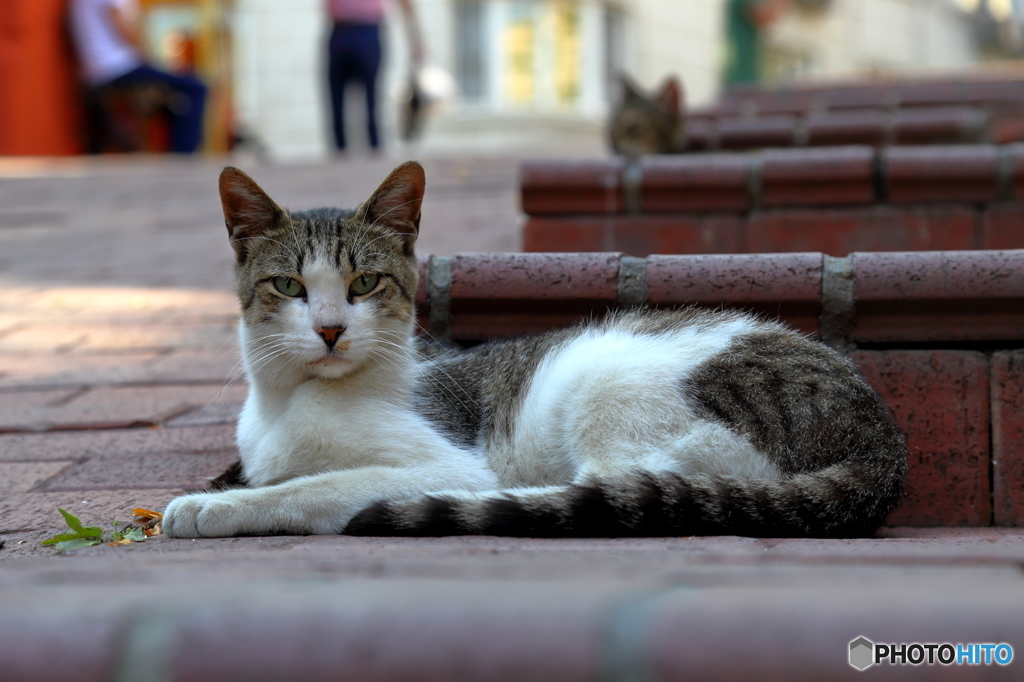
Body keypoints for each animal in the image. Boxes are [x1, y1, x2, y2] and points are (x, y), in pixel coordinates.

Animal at [163, 160, 909, 536]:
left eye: (364, 283)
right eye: (288, 285)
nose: (328, 328)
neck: (291, 401)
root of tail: (881, 440)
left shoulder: (450, 463)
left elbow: (313, 486)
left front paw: (211, 506)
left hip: (609, 382)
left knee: (606, 489)